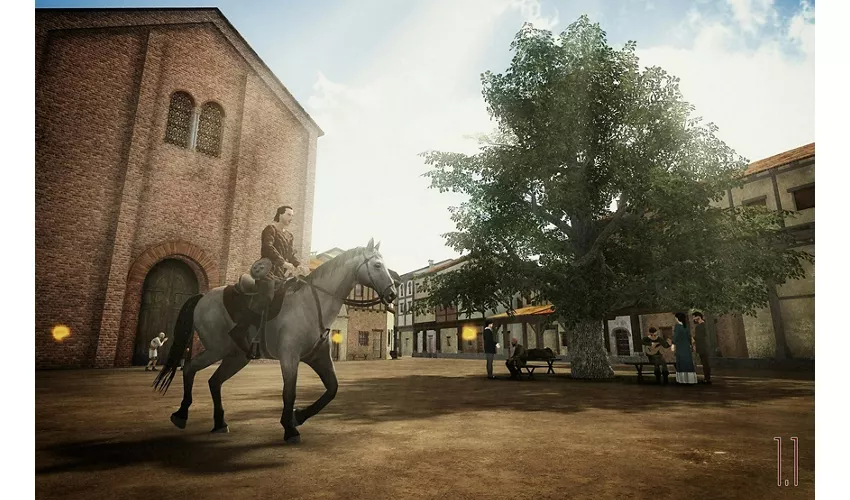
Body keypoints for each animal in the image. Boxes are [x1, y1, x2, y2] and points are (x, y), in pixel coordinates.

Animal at [153, 240, 398, 444]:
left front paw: (298, 416)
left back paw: (220, 422)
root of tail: (203, 296)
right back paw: (181, 414)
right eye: (377, 265)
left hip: (236, 357)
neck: (311, 304)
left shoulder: (318, 357)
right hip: (216, 350)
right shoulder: (289, 356)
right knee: (189, 369)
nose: (392, 294)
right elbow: (289, 392)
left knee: (214, 381)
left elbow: (332, 389)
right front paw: (290, 429)